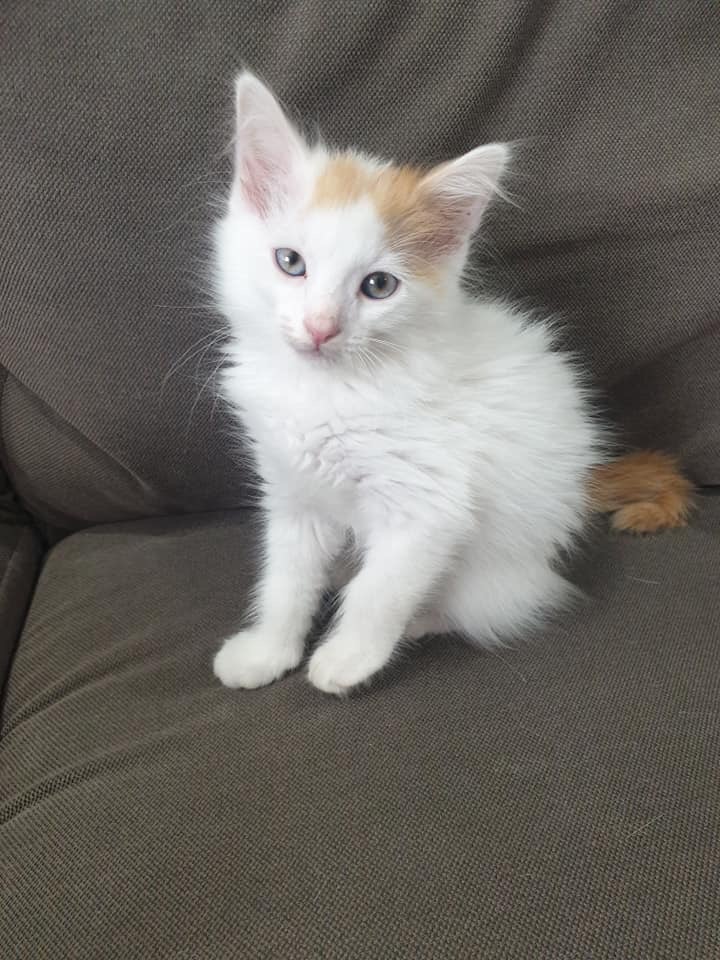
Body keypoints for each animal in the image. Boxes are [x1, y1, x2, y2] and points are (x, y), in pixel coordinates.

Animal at [211, 72, 692, 695]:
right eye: (290, 262)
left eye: (378, 286)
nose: (321, 327)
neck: (329, 389)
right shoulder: (294, 496)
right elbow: (285, 582)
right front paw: (268, 651)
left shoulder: (427, 503)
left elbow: (378, 592)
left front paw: (348, 659)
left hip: (499, 562)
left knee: (492, 600)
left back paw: (422, 620)